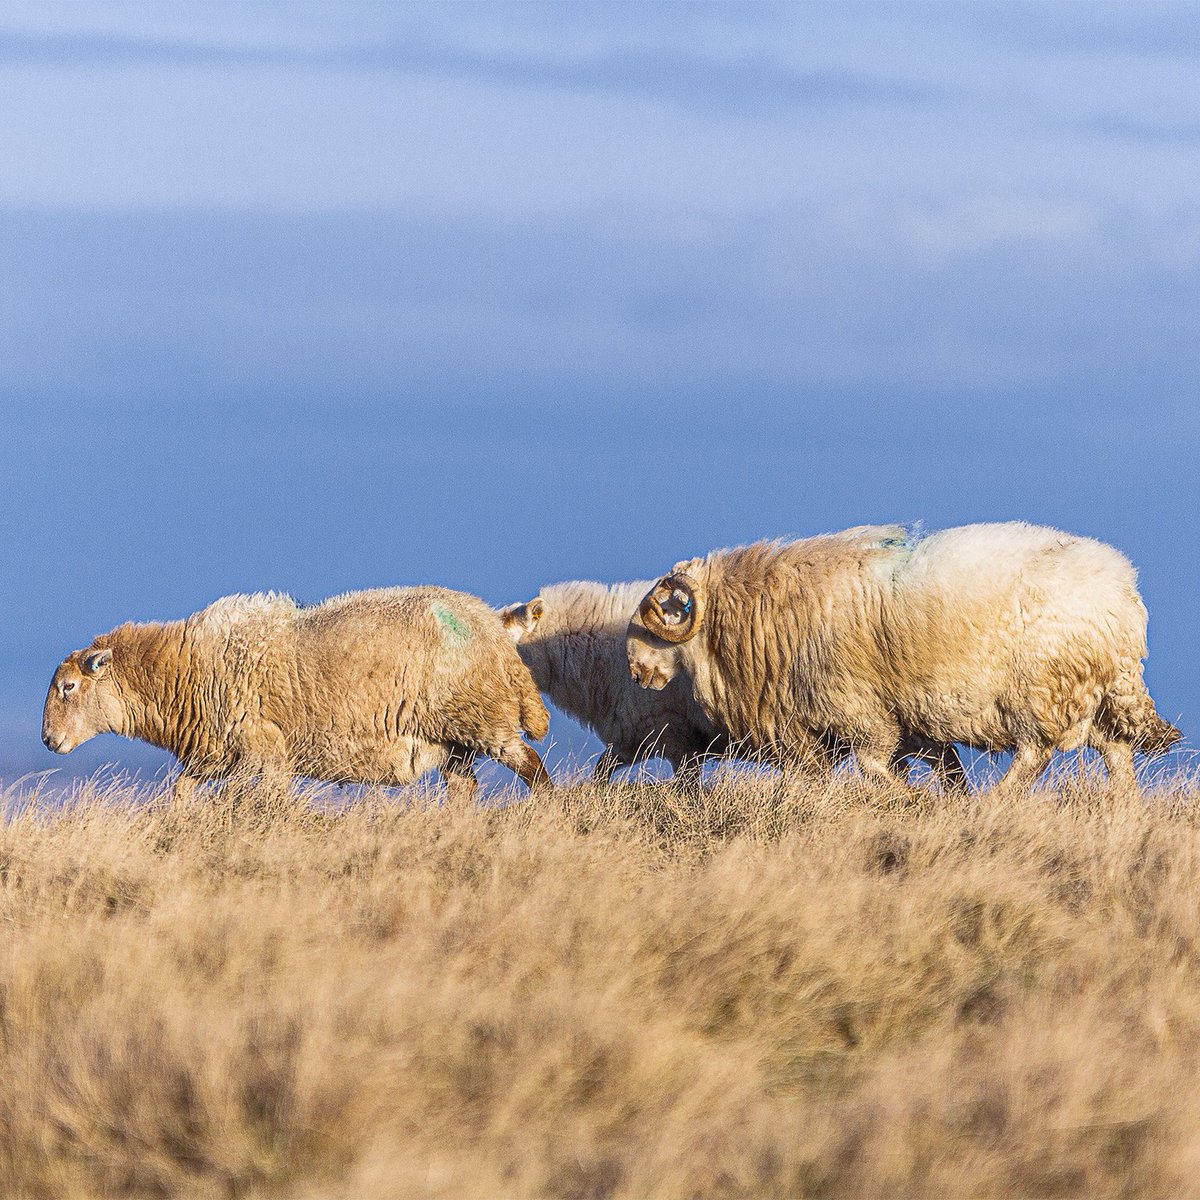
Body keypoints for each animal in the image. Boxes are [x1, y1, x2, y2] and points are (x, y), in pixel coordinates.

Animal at [42, 588, 552, 801]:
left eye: (68, 687)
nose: (48, 740)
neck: (185, 669)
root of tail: (492, 625)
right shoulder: (215, 754)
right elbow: (180, 791)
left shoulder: (265, 751)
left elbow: (265, 805)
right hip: (453, 741)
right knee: (464, 789)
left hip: (480, 716)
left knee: (531, 765)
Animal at [628, 523, 1180, 792]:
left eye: (666, 613)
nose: (634, 670)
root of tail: (1121, 599)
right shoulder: (908, 723)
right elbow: (941, 769)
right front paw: (942, 802)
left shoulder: (861, 713)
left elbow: (875, 766)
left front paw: (913, 801)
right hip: (1095, 696)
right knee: (1117, 754)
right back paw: (1121, 811)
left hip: (1041, 693)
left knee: (1036, 755)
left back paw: (1000, 804)